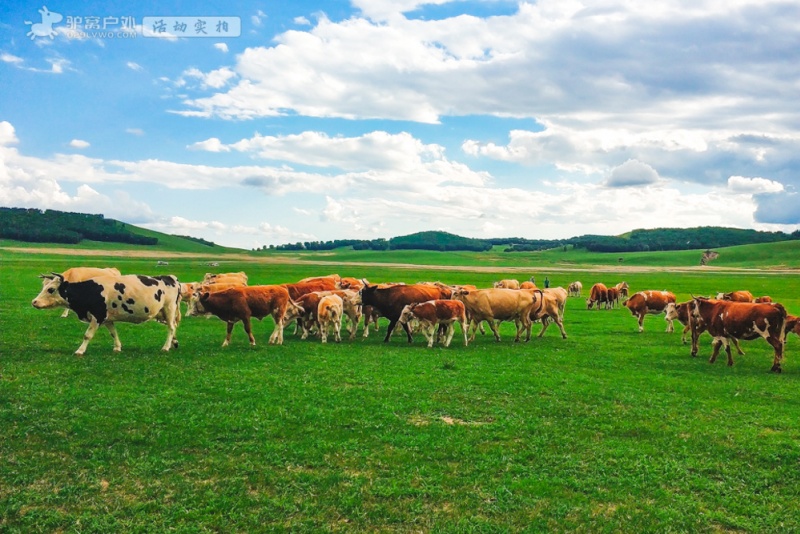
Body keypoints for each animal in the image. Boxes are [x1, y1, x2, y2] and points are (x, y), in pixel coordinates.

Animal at [32, 274, 181, 358]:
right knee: (173, 326)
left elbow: (87, 335)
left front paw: (80, 351)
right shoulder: (107, 318)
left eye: (51, 289)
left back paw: (166, 347)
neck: (89, 291)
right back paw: (174, 343)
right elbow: (113, 333)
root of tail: (171, 278)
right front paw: (117, 347)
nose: (34, 302)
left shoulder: (97, 315)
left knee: (171, 328)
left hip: (169, 308)